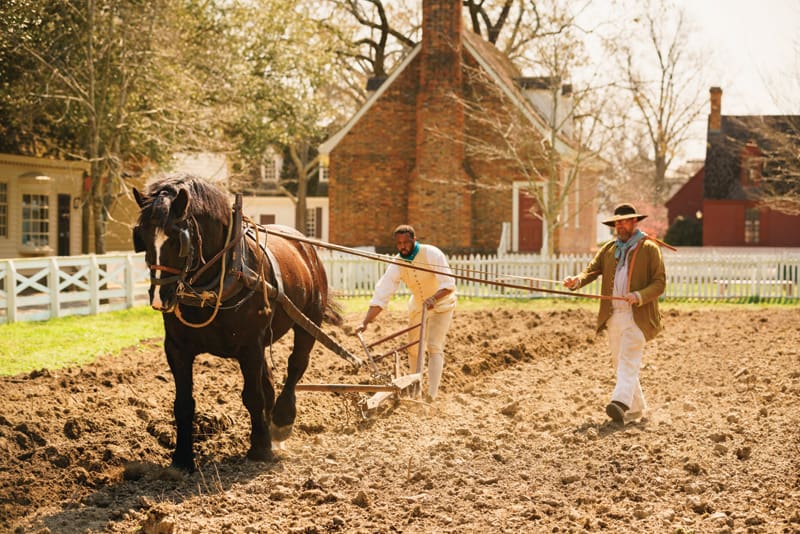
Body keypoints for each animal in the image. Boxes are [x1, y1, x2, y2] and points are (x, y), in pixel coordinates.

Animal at [133, 174, 332, 472]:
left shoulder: (250, 346)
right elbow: (183, 403)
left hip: (309, 320)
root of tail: (304, 244)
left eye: (177, 239)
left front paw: (259, 448)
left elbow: (253, 396)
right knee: (270, 382)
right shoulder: (177, 349)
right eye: (142, 237)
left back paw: (282, 421)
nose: (159, 298)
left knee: (296, 364)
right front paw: (182, 458)